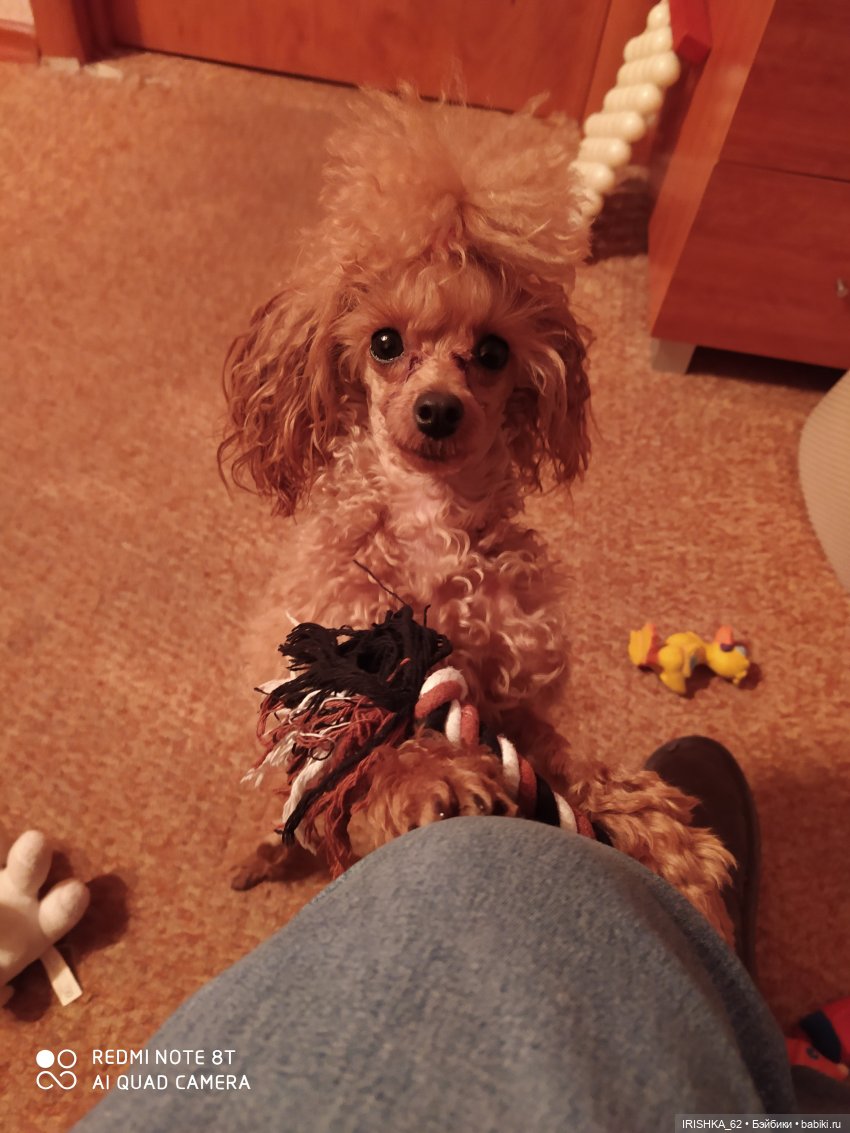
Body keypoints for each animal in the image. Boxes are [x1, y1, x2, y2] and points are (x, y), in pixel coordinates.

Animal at [219, 88, 735, 946]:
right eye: (385, 342)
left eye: (492, 352)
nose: (437, 410)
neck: (431, 523)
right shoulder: (348, 681)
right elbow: (375, 753)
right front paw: (435, 782)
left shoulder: (509, 693)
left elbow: (570, 765)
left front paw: (664, 838)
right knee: (284, 798)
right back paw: (256, 848)